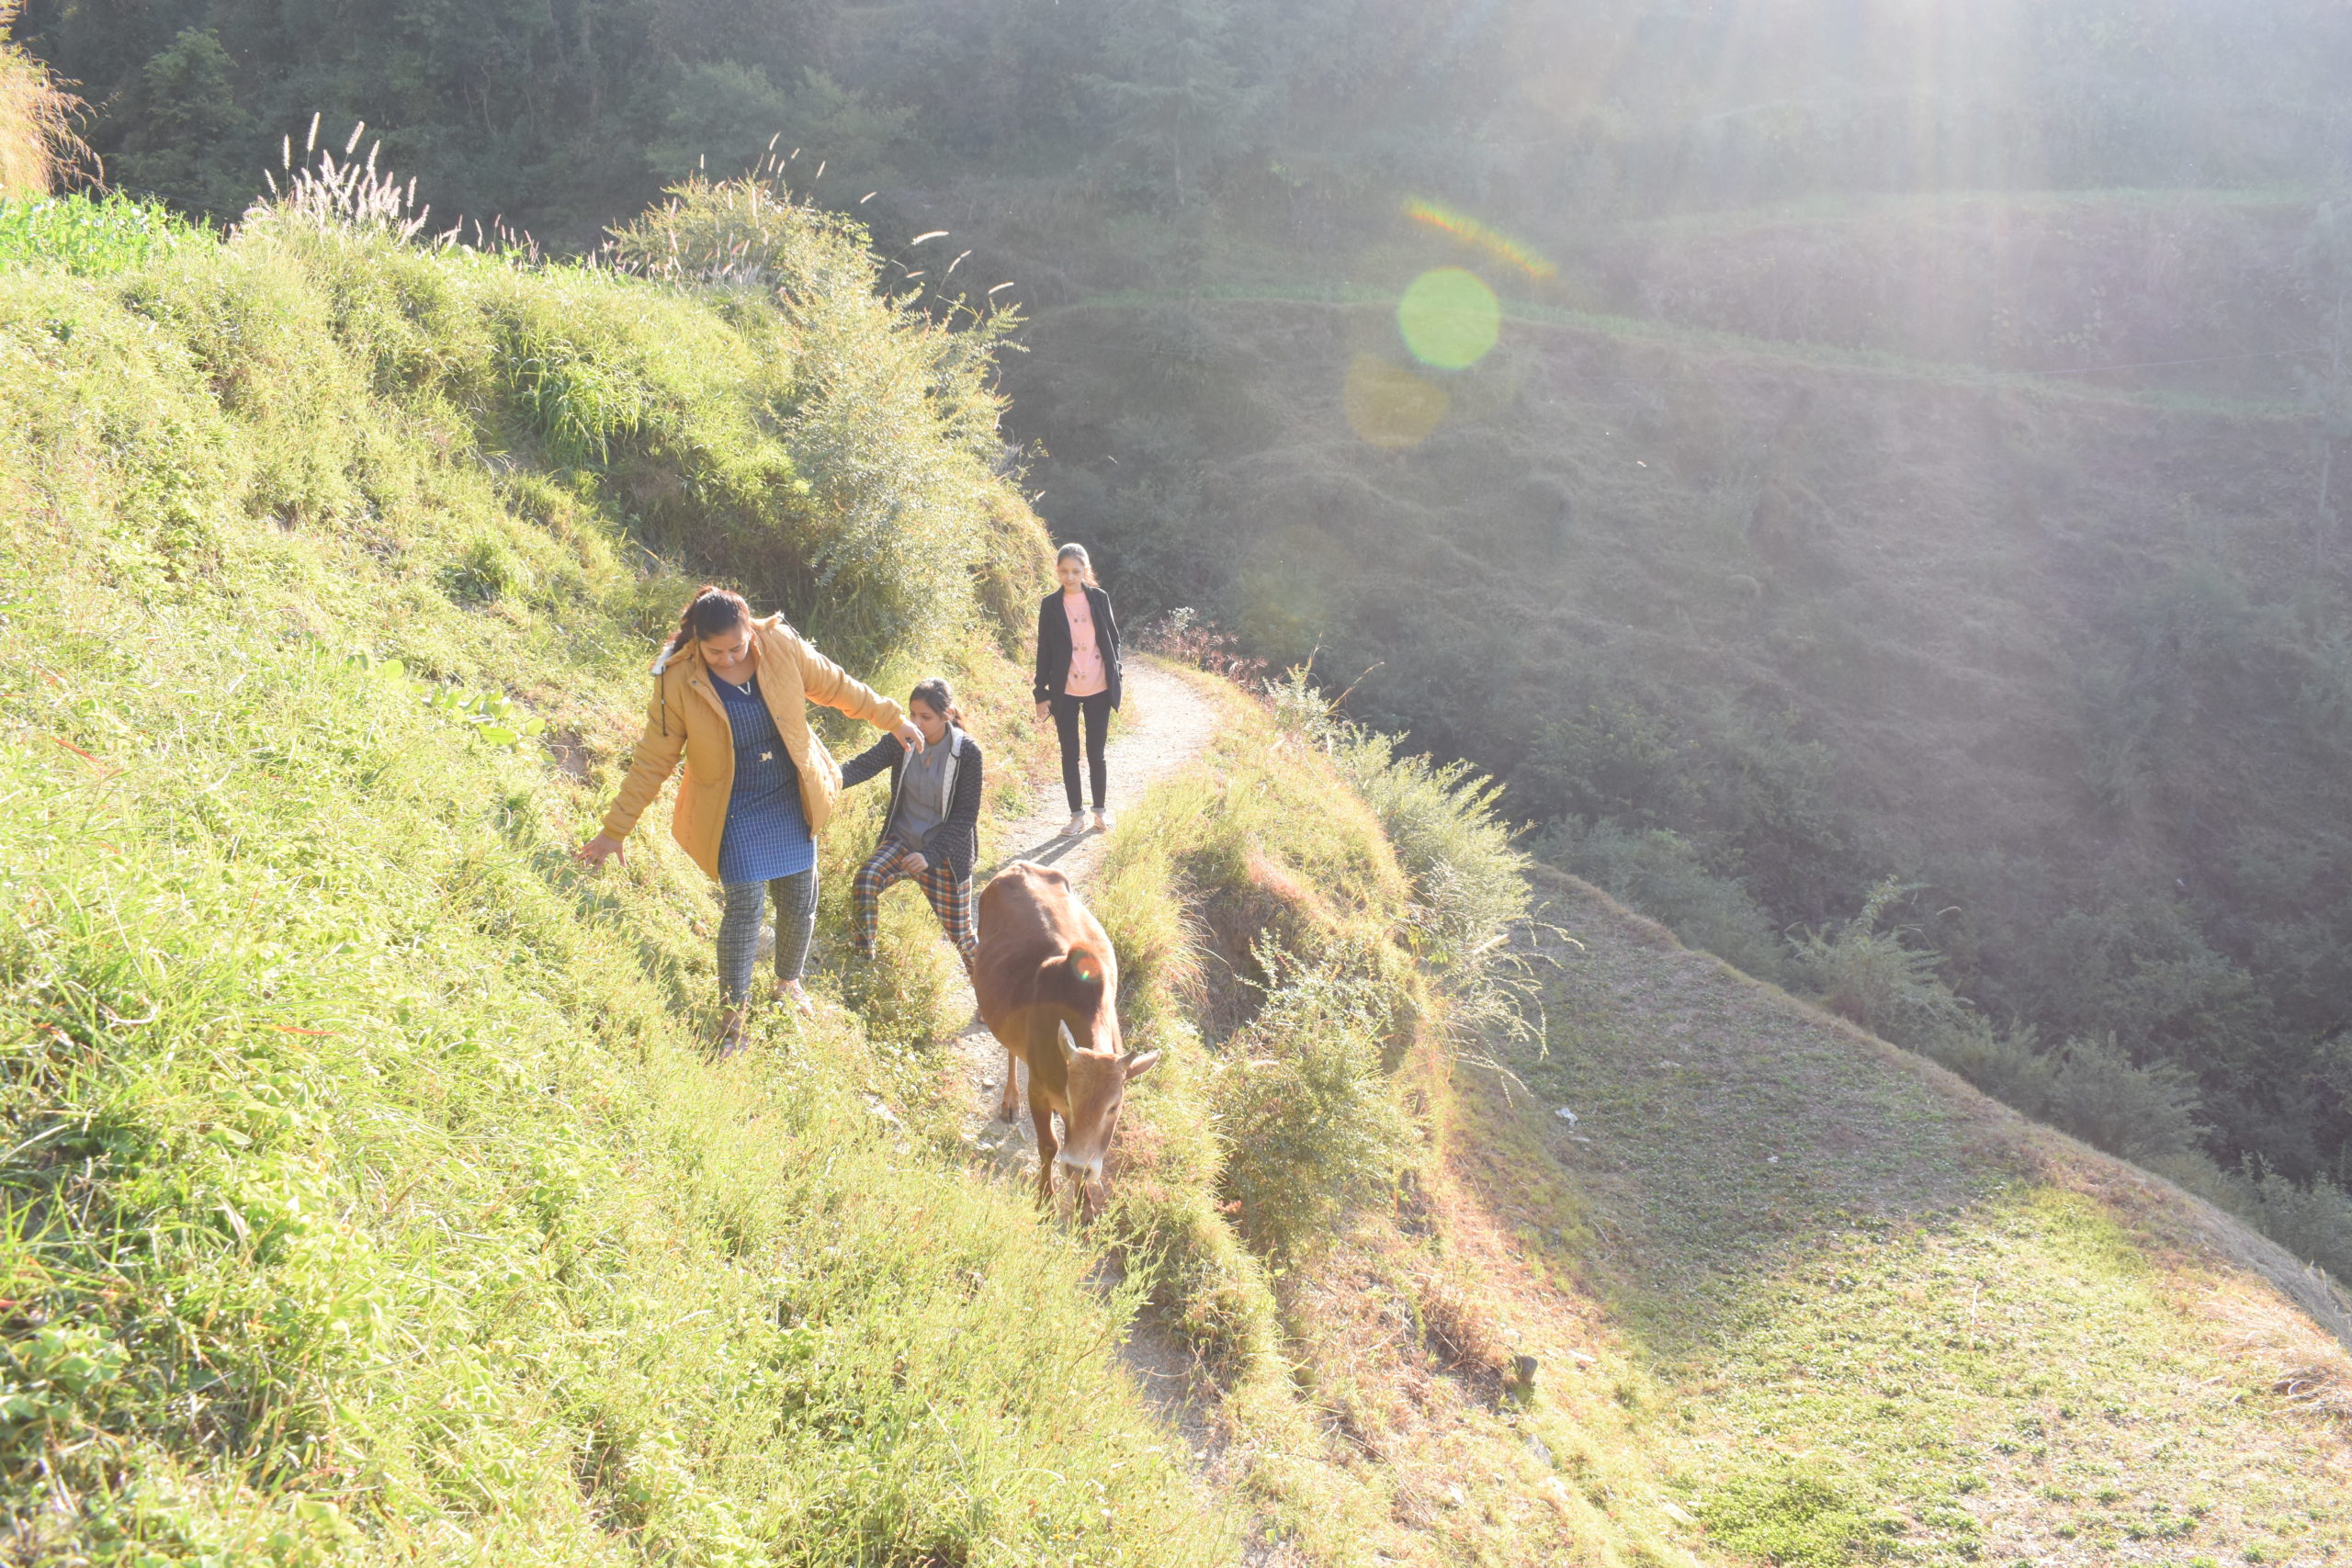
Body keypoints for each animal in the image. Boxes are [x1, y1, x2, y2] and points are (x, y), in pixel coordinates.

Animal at [973, 864, 1157, 1222]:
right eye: (1071, 1098)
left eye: (1114, 1106)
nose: (1077, 1166)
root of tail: (1018, 867)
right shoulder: (1039, 1092)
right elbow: (1049, 1146)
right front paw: (1045, 1201)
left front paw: (1085, 1208)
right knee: (1010, 1051)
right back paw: (1010, 1099)